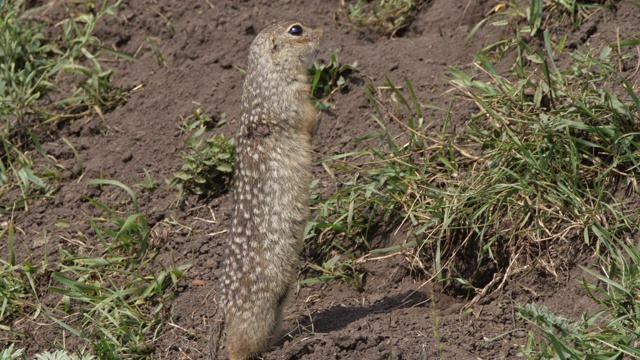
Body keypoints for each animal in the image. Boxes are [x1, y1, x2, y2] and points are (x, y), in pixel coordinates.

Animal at [211, 20, 324, 360]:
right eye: (296, 30)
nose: (324, 32)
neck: (267, 76)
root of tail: (224, 310)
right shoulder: (291, 99)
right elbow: (308, 117)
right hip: (256, 313)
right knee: (239, 347)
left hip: (275, 310)